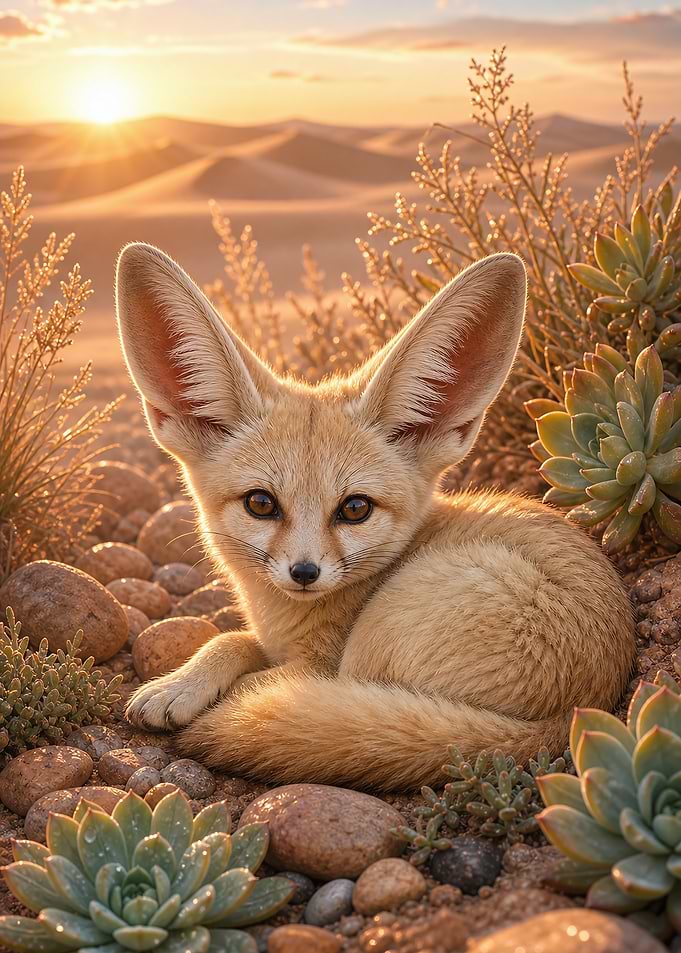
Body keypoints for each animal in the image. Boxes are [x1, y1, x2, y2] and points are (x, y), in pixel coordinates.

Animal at [115, 242, 636, 791]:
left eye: (355, 508)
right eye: (261, 503)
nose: (304, 572)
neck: (285, 620)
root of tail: (569, 719)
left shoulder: (317, 665)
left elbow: (240, 653)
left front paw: (191, 688)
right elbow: (232, 641)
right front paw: (179, 684)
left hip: (382, 633)